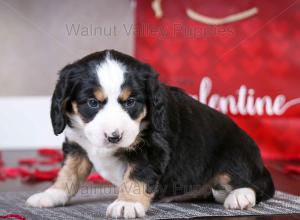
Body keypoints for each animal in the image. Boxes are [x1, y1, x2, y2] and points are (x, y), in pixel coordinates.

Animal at [25, 49, 274, 218]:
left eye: (131, 102)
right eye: (92, 103)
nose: (114, 137)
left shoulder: (152, 148)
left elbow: (136, 176)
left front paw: (127, 203)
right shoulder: (77, 145)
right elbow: (68, 173)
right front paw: (51, 194)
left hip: (236, 155)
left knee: (260, 185)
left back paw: (239, 196)